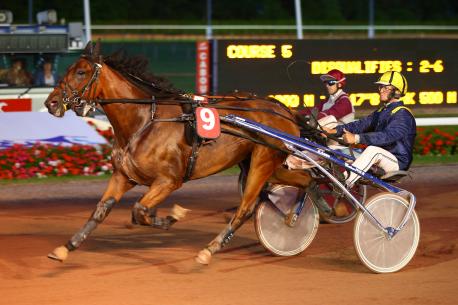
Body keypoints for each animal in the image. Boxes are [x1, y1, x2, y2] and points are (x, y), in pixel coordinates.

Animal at [45, 40, 312, 264]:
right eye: (69, 69)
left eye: (81, 72)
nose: (51, 103)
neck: (143, 121)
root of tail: (285, 110)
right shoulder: (123, 176)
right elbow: (101, 211)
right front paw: (66, 247)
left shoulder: (168, 181)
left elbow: (139, 211)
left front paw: (172, 216)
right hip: (263, 164)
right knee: (305, 180)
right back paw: (299, 211)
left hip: (262, 162)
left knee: (245, 207)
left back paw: (210, 249)